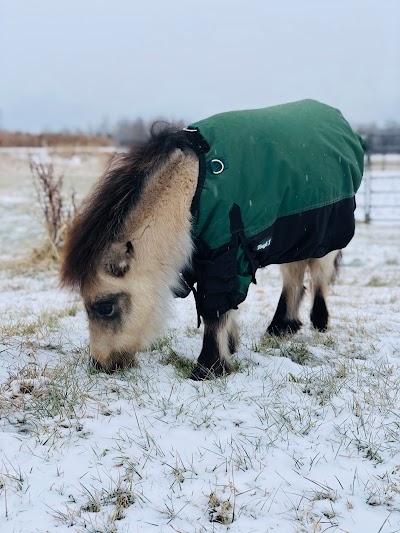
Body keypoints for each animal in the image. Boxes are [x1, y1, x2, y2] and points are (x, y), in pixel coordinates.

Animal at [61, 98, 364, 378]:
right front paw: (230, 346)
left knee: (319, 273)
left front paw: (209, 367)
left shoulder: (227, 252)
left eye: (105, 307)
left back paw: (318, 321)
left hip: (324, 232)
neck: (192, 193)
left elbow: (214, 310)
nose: (99, 365)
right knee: (294, 273)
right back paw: (282, 326)